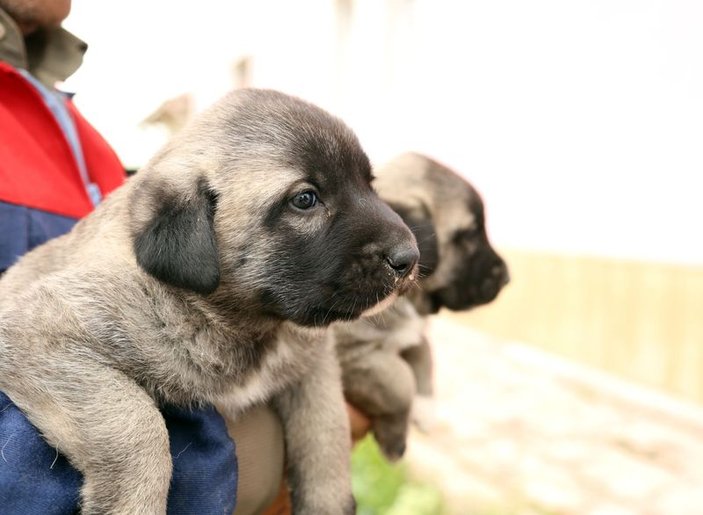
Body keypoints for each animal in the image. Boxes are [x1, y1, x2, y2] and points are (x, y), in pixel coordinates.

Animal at [0, 90, 418, 512]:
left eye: (369, 184)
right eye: (305, 199)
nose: (409, 258)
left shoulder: (313, 364)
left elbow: (325, 431)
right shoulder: (44, 336)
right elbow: (139, 427)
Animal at [332, 152, 508, 460]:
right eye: (469, 235)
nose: (507, 276)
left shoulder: (409, 336)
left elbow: (425, 352)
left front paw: (426, 407)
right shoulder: (354, 355)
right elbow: (400, 383)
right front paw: (395, 439)